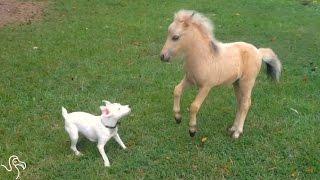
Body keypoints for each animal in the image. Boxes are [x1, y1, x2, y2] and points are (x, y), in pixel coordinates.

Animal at [161, 9, 282, 138]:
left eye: (175, 37)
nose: (162, 56)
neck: (203, 57)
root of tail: (259, 52)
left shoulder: (206, 87)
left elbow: (194, 106)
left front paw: (192, 130)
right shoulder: (189, 79)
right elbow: (177, 90)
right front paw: (177, 117)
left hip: (247, 82)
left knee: (246, 103)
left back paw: (237, 132)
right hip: (236, 83)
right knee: (240, 102)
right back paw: (233, 128)